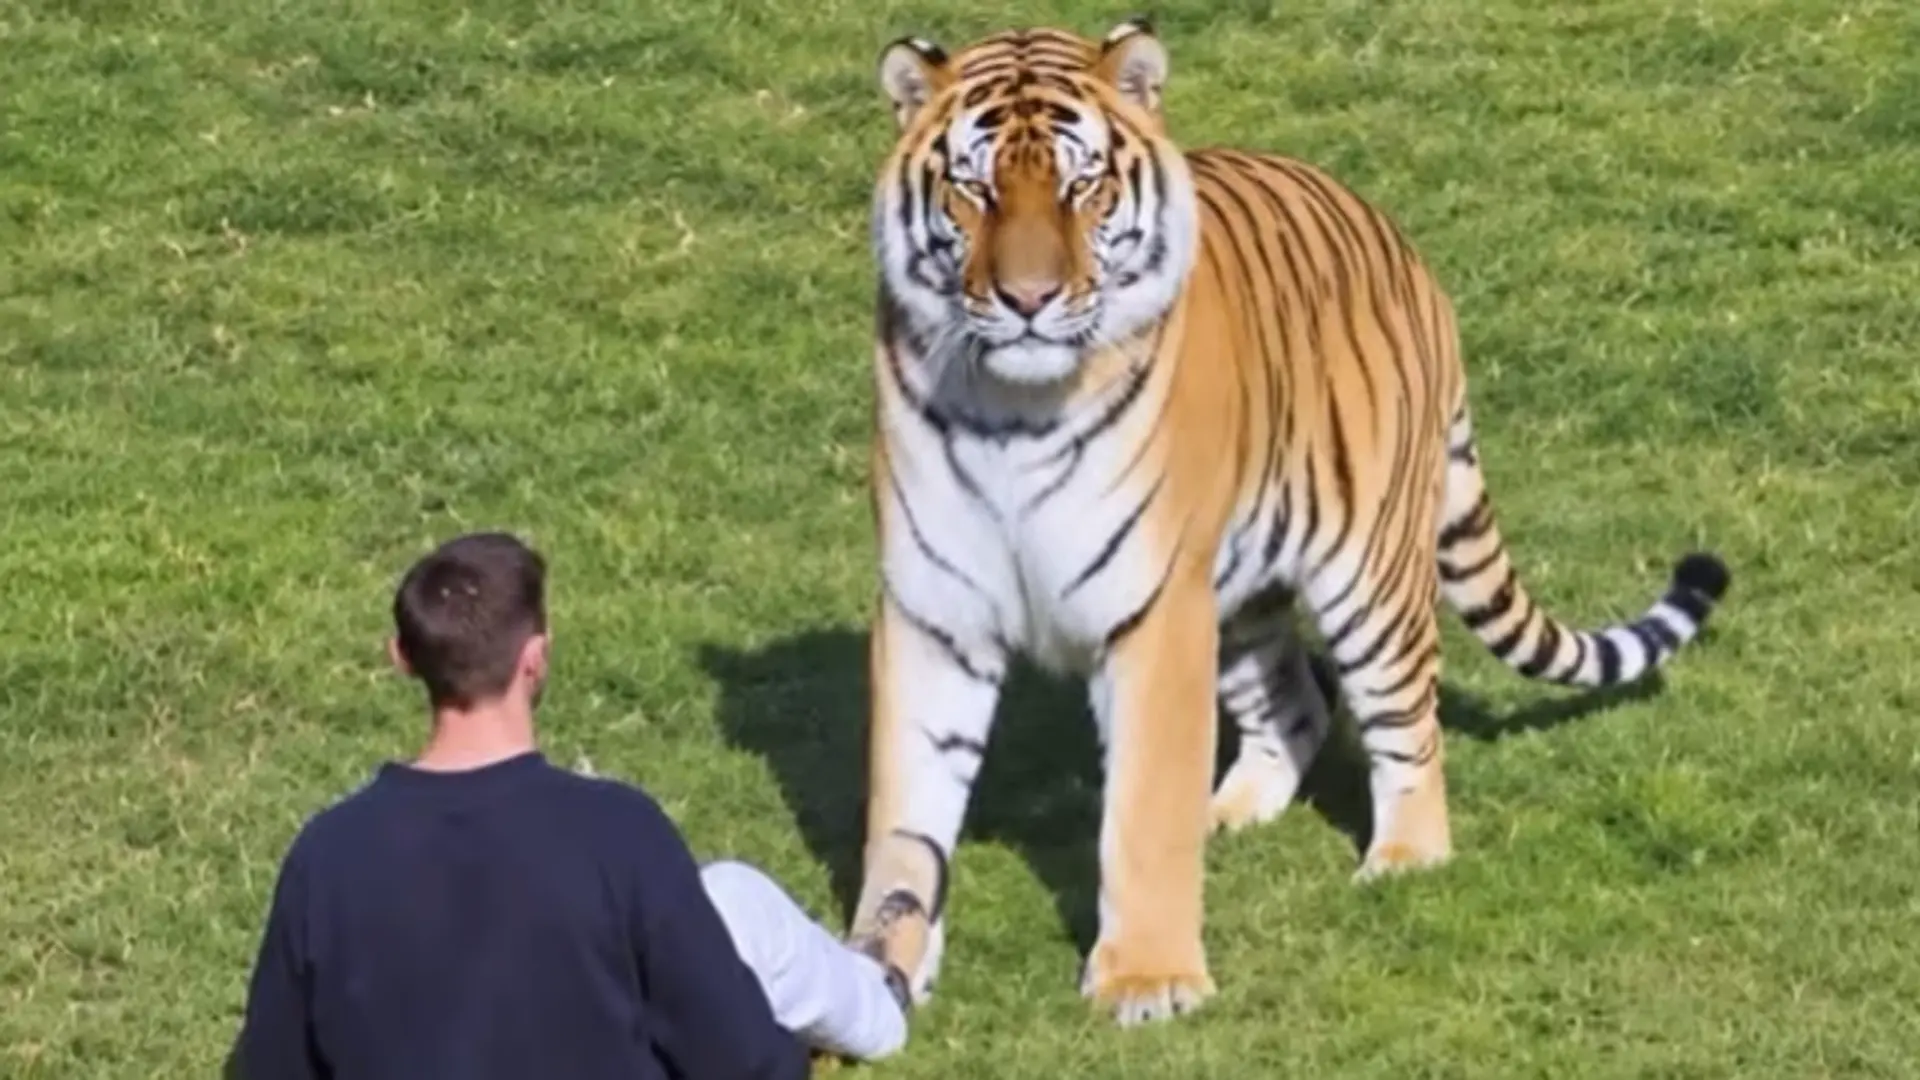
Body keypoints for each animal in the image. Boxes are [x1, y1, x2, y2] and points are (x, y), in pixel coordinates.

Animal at [843, 18, 1732, 1026]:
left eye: (1081, 186)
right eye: (975, 187)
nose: (1028, 301)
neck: (1012, 409)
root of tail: (1397, 239)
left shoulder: (1154, 612)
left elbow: (1143, 807)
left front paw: (1148, 979)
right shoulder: (932, 611)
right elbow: (907, 814)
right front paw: (881, 964)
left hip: (1368, 577)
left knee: (1405, 721)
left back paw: (1404, 858)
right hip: (1237, 593)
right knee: (1296, 704)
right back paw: (1228, 811)